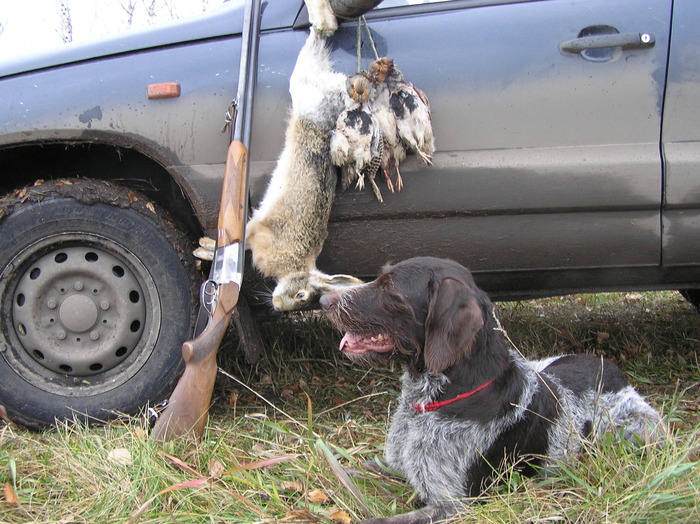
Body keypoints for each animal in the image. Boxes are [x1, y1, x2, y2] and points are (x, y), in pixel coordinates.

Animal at [320, 256, 664, 524]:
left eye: (390, 289)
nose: (323, 301)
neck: (431, 400)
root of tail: (616, 374)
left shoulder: (454, 504)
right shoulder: (394, 466)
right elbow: (343, 469)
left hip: (638, 431)